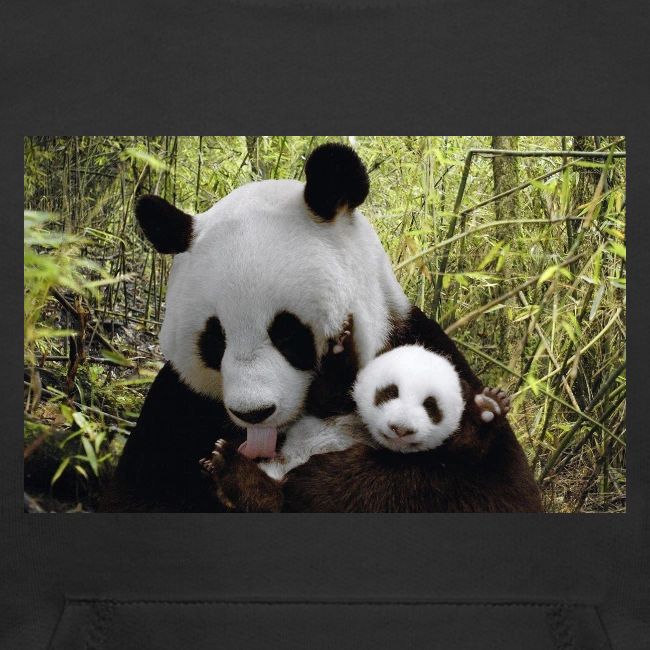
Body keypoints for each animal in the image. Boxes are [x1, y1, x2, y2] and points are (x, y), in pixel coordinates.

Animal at [100, 143, 541, 513]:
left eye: (287, 333)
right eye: (215, 340)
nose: (254, 413)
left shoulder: (421, 347)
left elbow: (489, 489)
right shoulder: (178, 405)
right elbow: (139, 494)